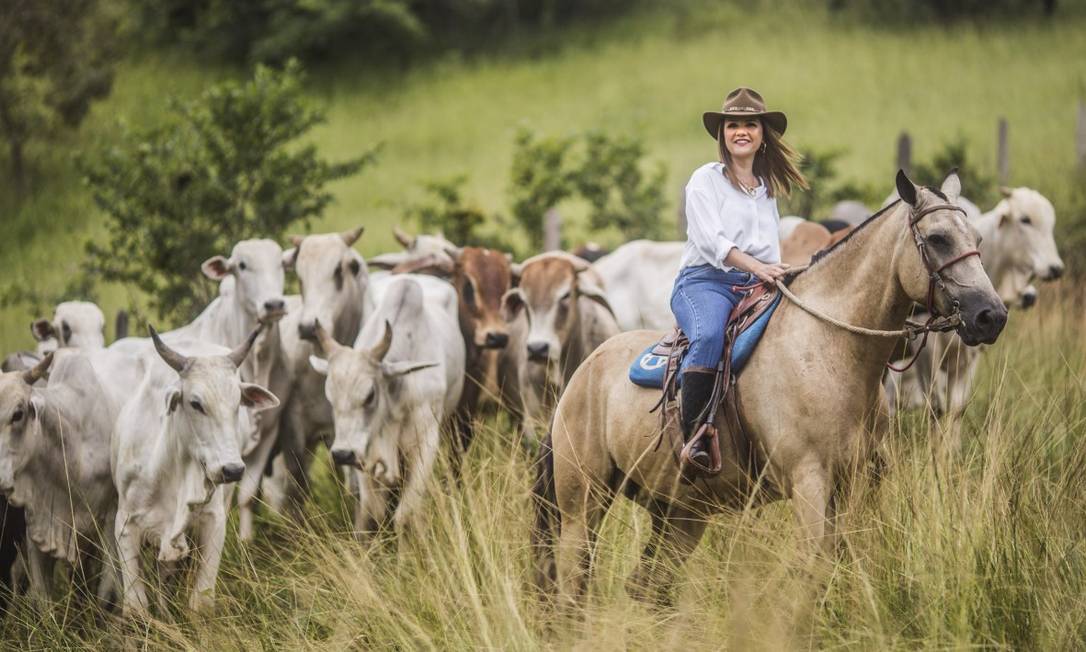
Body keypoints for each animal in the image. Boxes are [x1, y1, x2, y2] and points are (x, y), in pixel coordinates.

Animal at [111, 328, 275, 612]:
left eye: (237, 404)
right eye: (196, 403)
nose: (233, 470)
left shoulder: (214, 523)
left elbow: (201, 599)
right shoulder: (125, 525)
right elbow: (136, 606)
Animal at [308, 277, 464, 536]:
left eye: (370, 394)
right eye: (330, 396)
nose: (342, 454)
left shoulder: (426, 444)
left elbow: (405, 515)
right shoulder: (364, 455)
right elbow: (373, 514)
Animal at [534, 170, 1007, 608]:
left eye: (979, 237)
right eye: (938, 238)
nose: (991, 315)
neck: (829, 346)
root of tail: (580, 379)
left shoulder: (855, 486)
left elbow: (851, 563)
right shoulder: (809, 482)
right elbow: (812, 568)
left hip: (678, 515)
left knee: (646, 585)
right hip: (582, 507)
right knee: (574, 584)